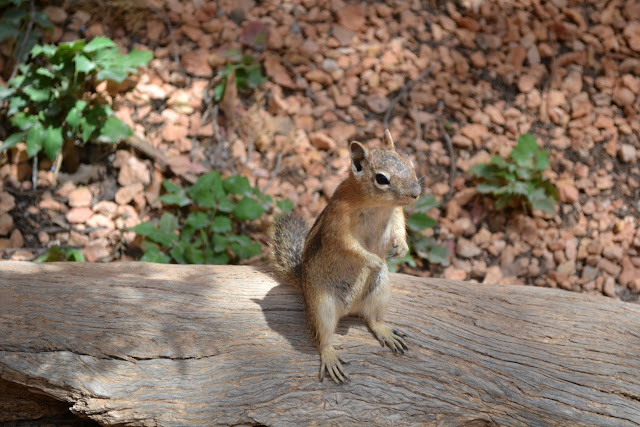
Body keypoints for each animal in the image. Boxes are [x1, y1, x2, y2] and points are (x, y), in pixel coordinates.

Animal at [268, 130, 420, 384]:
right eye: (382, 179)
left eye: (409, 161)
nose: (416, 193)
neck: (378, 206)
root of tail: (350, 309)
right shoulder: (338, 223)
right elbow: (350, 246)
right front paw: (374, 260)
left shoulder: (396, 212)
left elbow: (399, 226)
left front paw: (401, 247)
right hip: (322, 306)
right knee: (322, 338)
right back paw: (330, 357)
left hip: (379, 290)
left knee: (372, 319)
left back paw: (386, 332)